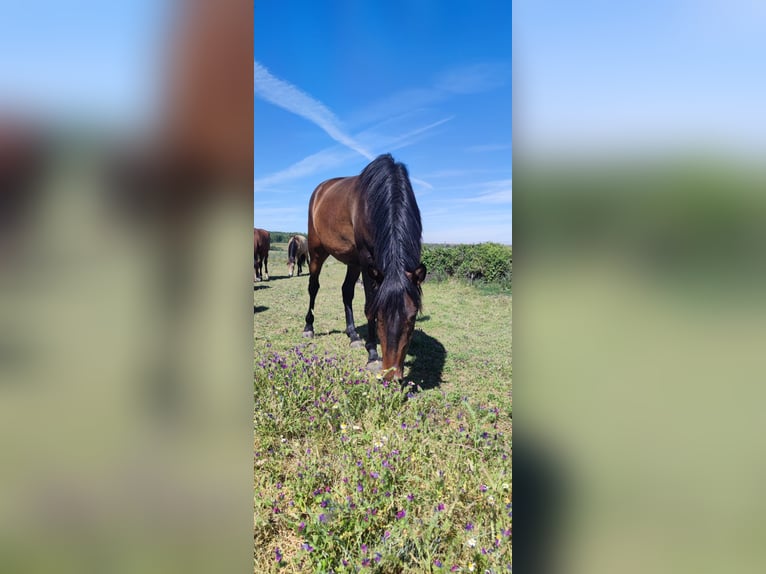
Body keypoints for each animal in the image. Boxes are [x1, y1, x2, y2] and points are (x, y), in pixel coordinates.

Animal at [304, 155, 428, 384]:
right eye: (380, 316)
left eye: (412, 317)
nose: (391, 376)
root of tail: (320, 189)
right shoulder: (367, 262)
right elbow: (369, 303)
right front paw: (372, 355)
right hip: (317, 252)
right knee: (313, 287)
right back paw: (308, 328)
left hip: (352, 262)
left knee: (346, 291)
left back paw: (353, 335)